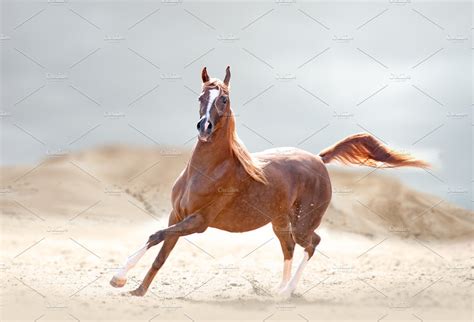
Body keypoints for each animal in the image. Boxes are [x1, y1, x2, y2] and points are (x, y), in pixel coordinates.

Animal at [109, 66, 428, 298]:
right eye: (200, 98)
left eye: (223, 99)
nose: (204, 127)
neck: (206, 171)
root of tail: (318, 160)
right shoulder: (177, 215)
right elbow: (160, 251)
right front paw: (136, 290)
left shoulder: (198, 222)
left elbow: (155, 236)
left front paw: (118, 278)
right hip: (279, 222)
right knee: (289, 247)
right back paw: (278, 289)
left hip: (303, 223)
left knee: (311, 243)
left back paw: (287, 292)